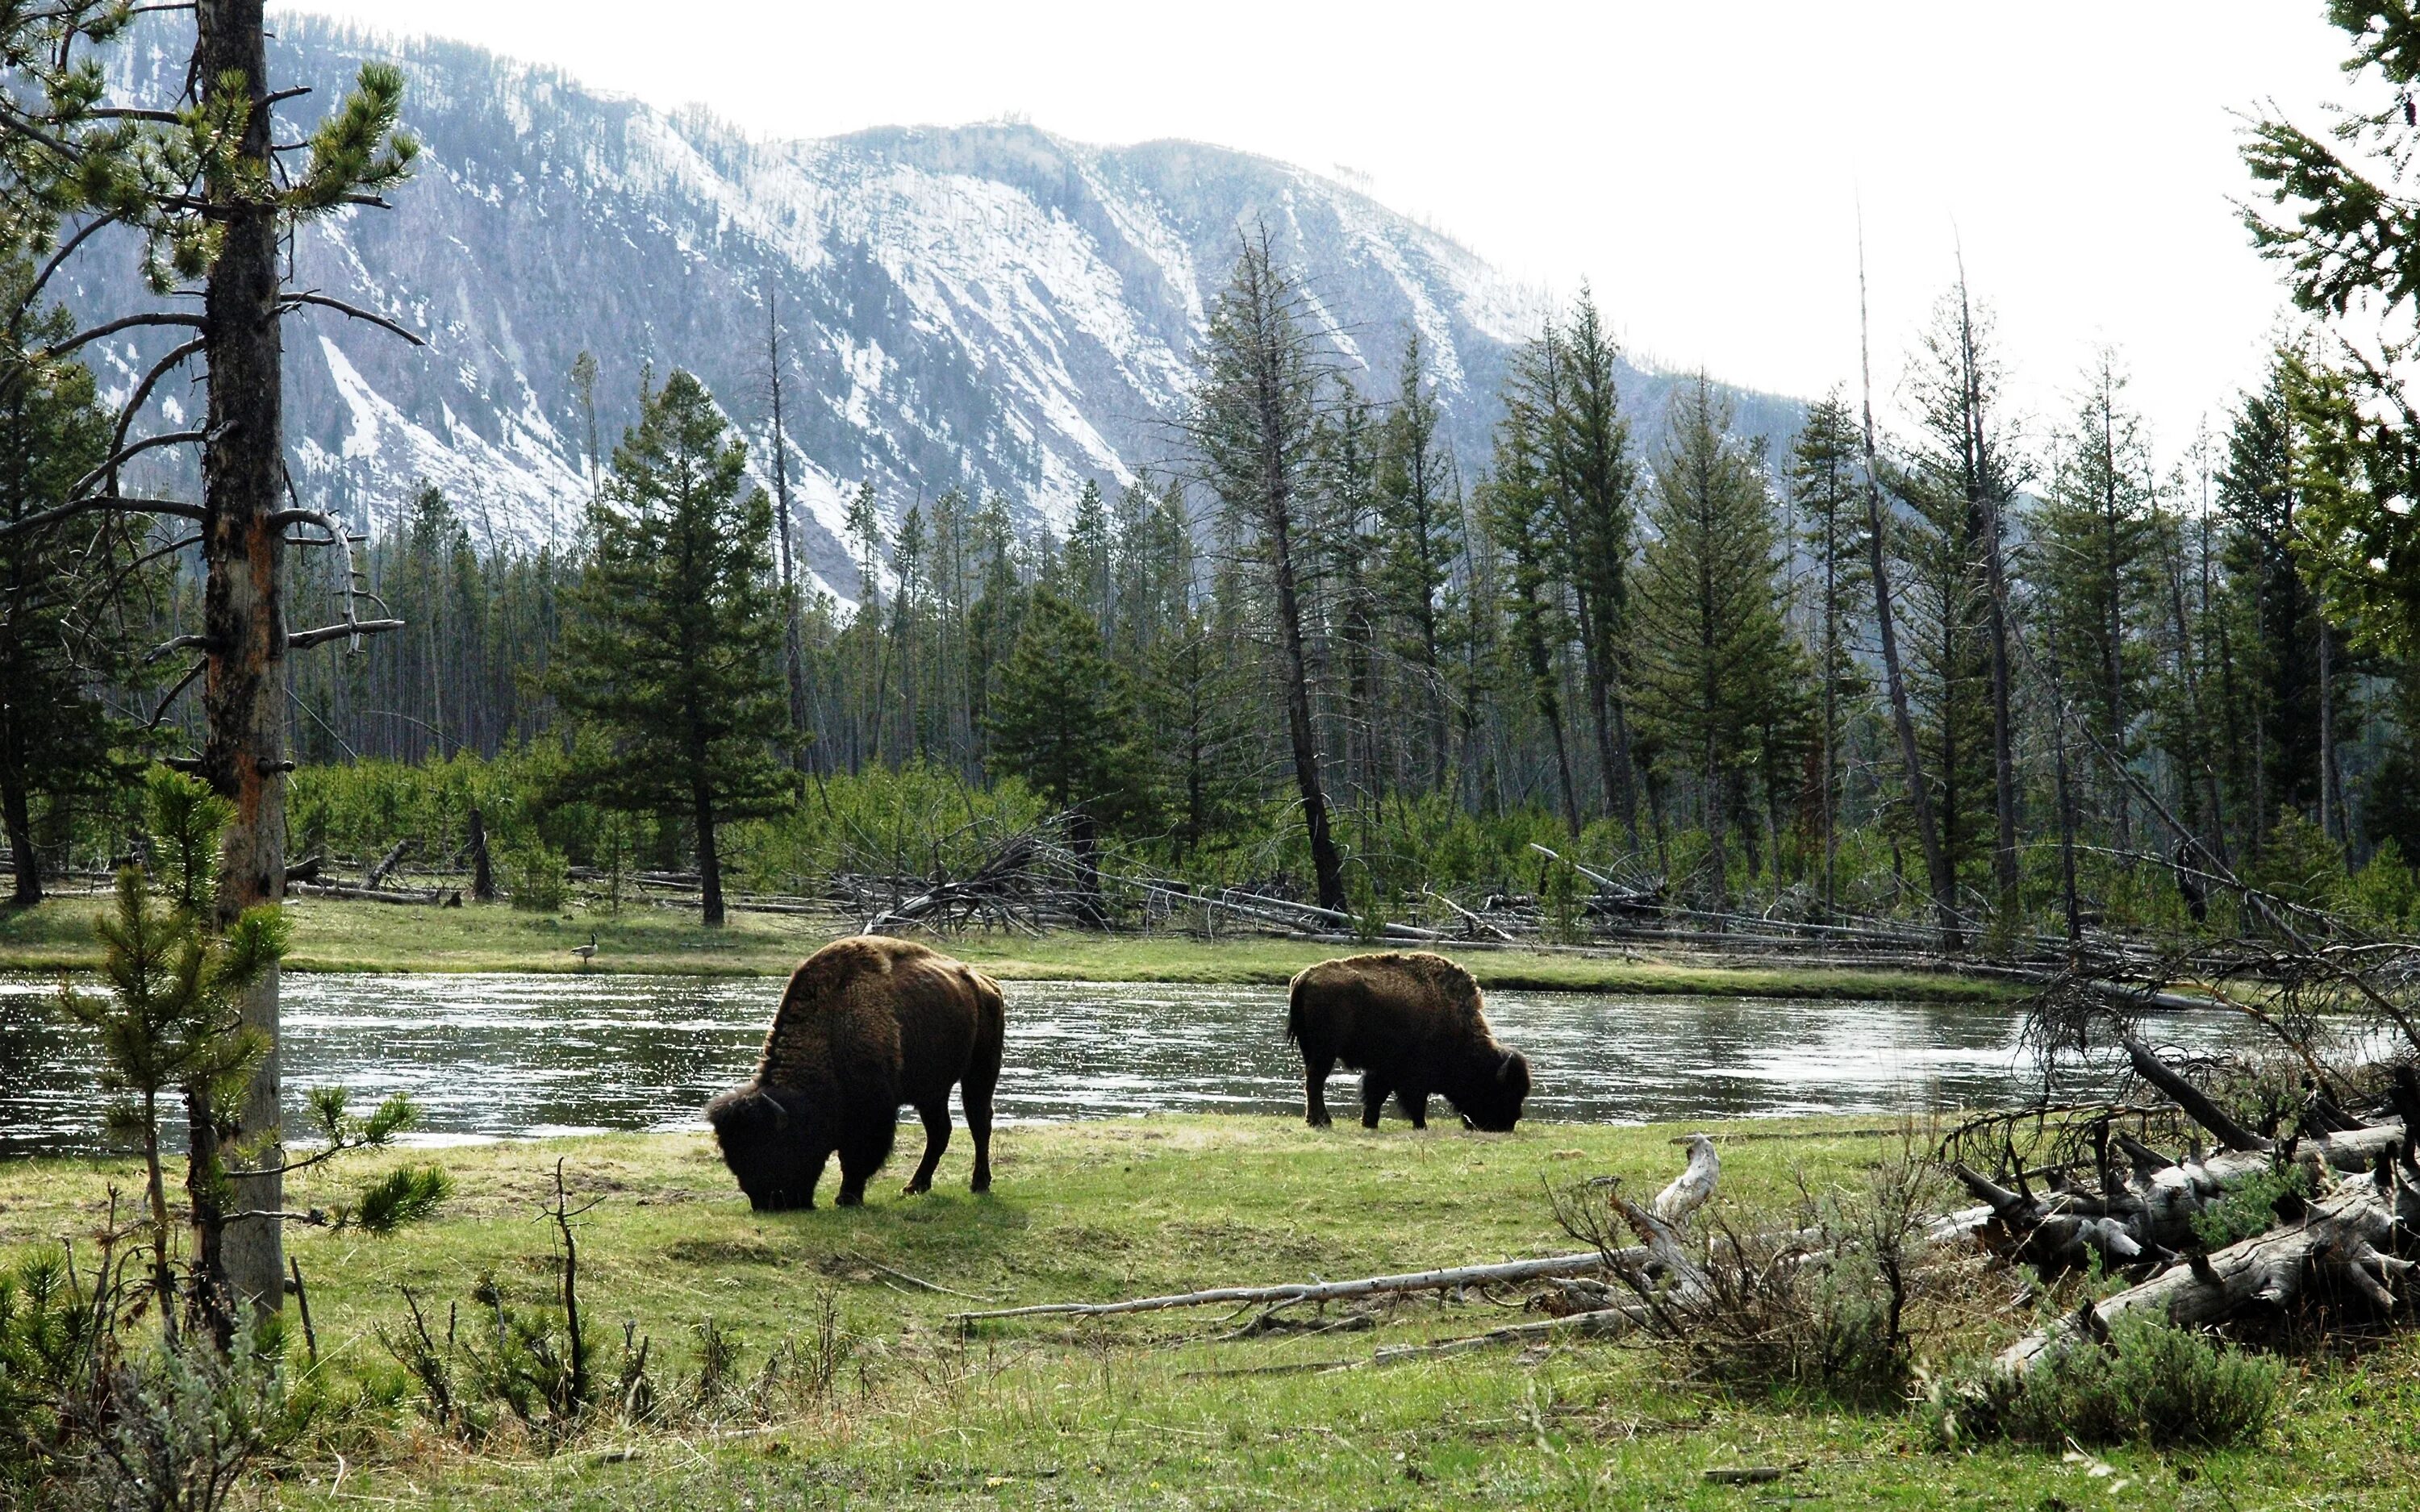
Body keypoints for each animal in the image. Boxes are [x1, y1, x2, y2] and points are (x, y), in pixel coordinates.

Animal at [707, 939, 1007, 1210]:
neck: (830, 1028)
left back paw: (979, 1183)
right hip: (932, 1092)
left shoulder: (872, 1112)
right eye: (734, 1159)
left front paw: (847, 1198)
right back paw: (914, 1186)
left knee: (979, 1123)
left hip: (980, 1072)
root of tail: (988, 985)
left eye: (773, 1149)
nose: (769, 1203)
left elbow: (856, 1157)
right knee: (940, 1131)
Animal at [1287, 948, 1529, 1127]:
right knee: (1315, 1080)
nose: (1507, 1125)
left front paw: (1370, 1122)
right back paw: (1321, 1121)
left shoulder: (1383, 1070)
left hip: (1311, 1050)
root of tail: (1304, 977)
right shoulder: (1414, 1077)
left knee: (1313, 1081)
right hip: (1324, 1052)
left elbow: (1375, 1095)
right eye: (1504, 1092)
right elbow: (1415, 1102)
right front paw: (1421, 1125)